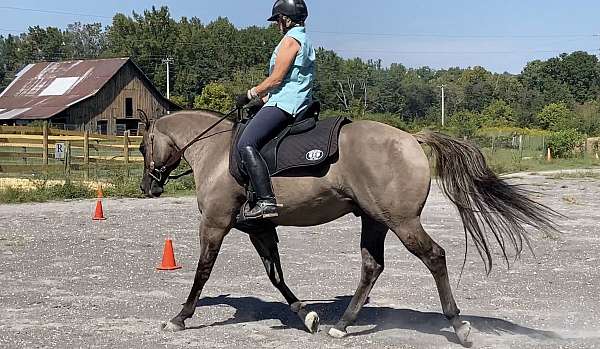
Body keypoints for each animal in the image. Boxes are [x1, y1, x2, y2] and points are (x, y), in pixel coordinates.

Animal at [139, 109, 556, 346]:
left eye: (143, 146)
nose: (148, 187)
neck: (215, 151)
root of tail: (411, 138)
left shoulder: (215, 223)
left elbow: (202, 271)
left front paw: (179, 318)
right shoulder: (258, 228)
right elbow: (276, 276)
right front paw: (306, 316)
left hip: (402, 222)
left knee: (435, 257)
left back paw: (458, 326)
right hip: (374, 220)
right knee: (372, 267)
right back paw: (341, 325)